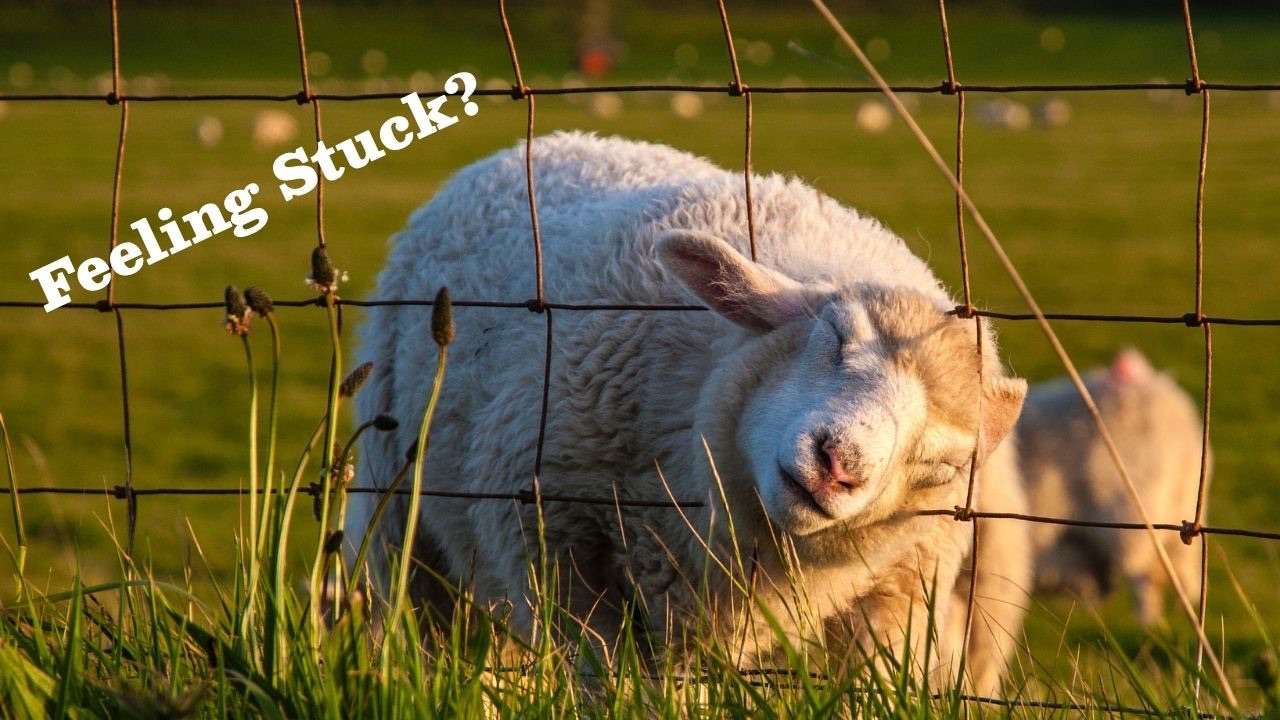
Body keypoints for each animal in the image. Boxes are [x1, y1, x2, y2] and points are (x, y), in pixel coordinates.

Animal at [346, 131, 1027, 674]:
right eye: (834, 335)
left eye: (940, 467)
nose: (837, 465)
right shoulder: (556, 544)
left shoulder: (899, 600)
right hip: (401, 524)